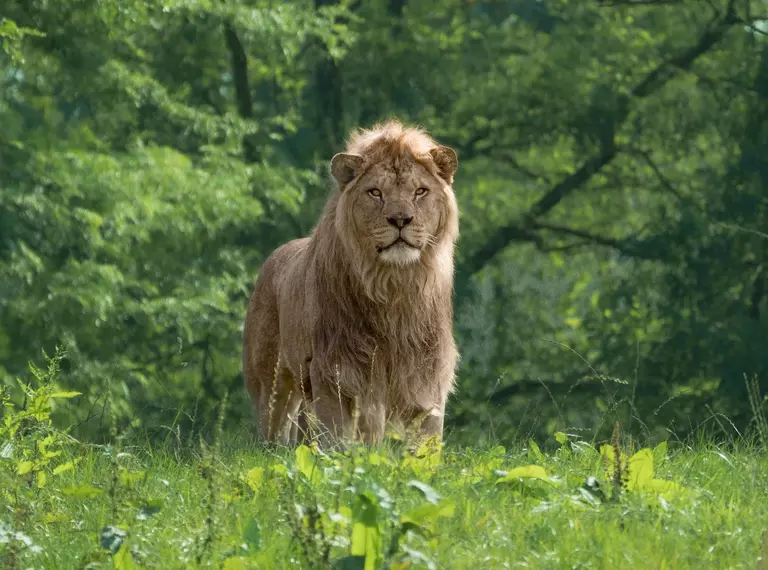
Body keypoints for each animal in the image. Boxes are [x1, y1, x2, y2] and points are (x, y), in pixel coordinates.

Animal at [243, 120, 460, 444]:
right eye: (375, 192)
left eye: (420, 191)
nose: (400, 219)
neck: (393, 285)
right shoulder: (336, 371)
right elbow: (338, 440)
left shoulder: (426, 373)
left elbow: (424, 442)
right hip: (270, 384)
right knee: (274, 431)